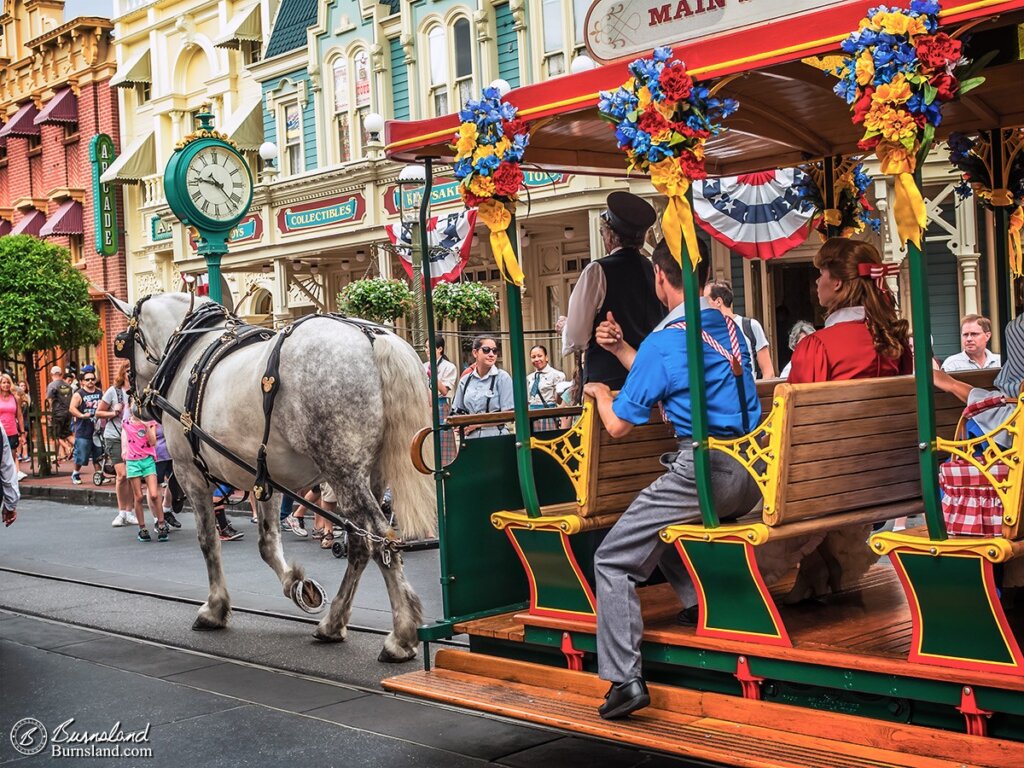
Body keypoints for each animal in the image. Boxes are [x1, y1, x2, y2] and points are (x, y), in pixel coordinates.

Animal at [111, 290, 436, 663]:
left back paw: (401, 637)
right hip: (371, 473)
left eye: (123, 345)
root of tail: (373, 336)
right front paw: (299, 587)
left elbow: (208, 541)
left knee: (380, 537)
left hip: (343, 471)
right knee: (360, 542)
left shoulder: (189, 471)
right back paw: (333, 623)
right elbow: (267, 543)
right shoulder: (266, 476)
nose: (135, 404)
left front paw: (215, 609)